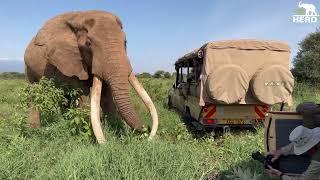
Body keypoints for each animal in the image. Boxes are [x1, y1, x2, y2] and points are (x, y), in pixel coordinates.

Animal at [24, 10, 159, 144]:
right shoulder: (72, 61)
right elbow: (83, 97)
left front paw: (117, 132)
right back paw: (34, 130)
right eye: (88, 44)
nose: (146, 128)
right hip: (28, 68)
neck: (81, 16)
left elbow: (106, 97)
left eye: (125, 43)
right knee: (34, 95)